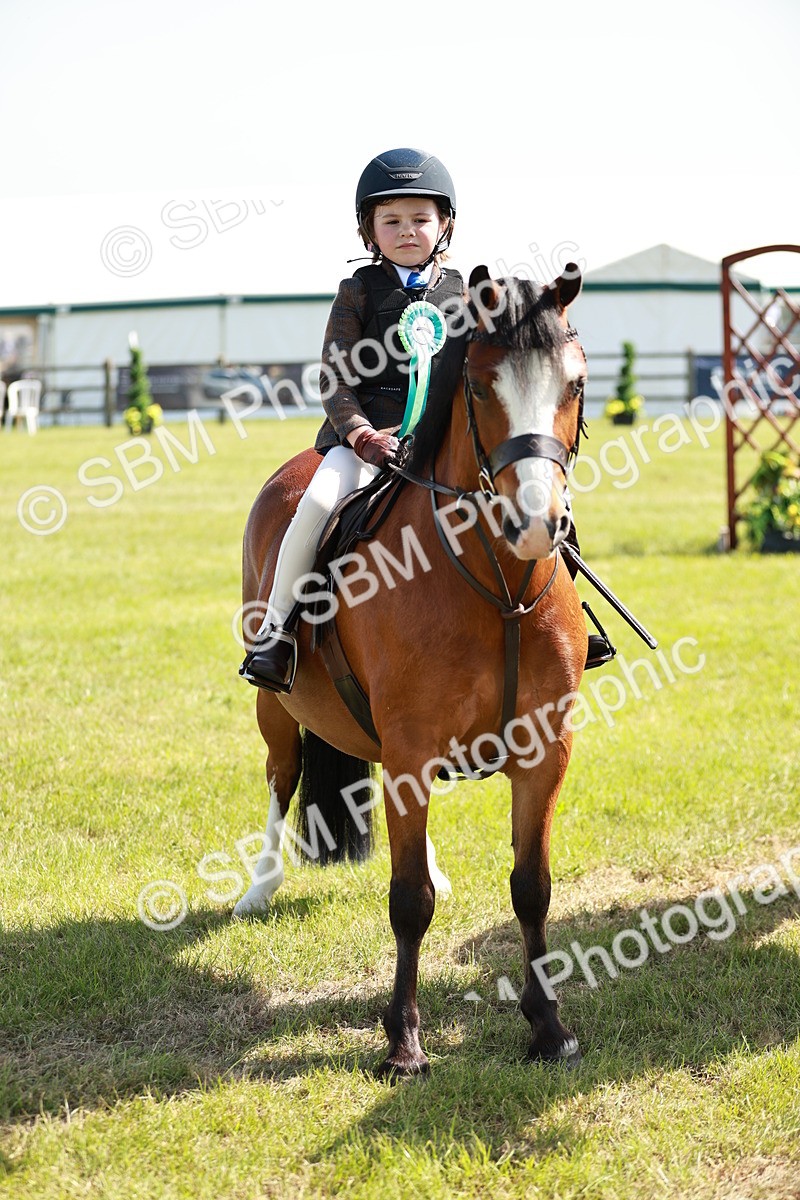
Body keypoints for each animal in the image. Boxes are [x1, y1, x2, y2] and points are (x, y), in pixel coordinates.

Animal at [234, 264, 588, 1075]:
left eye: (577, 383)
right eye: (481, 385)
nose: (535, 524)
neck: (498, 588)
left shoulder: (543, 750)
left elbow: (532, 887)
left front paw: (548, 1026)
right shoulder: (409, 746)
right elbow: (407, 902)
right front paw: (403, 1042)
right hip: (278, 709)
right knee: (280, 778)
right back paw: (259, 890)